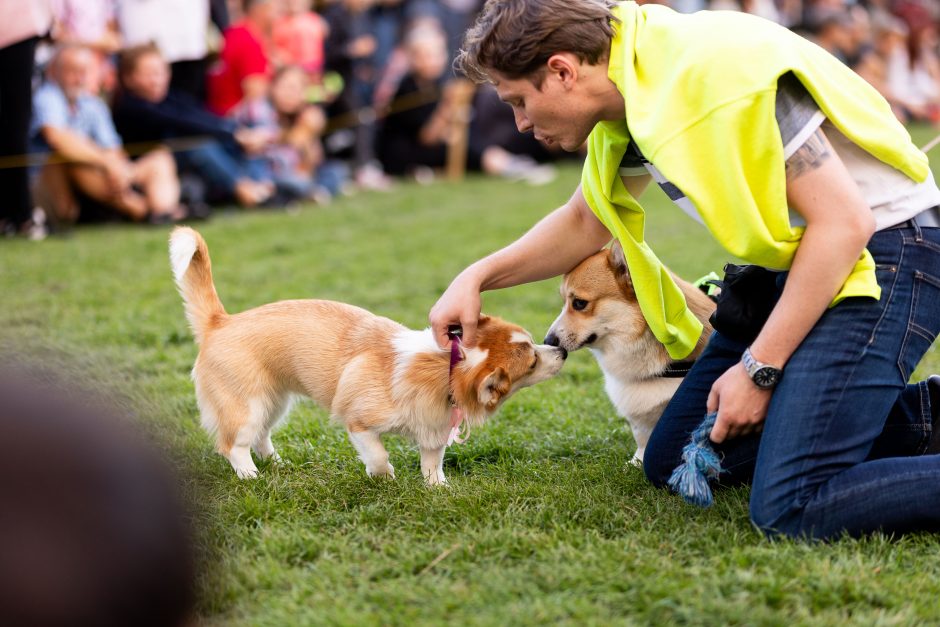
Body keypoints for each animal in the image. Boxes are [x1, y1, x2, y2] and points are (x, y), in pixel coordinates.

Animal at [169, 227, 564, 486]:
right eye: (532, 360)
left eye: (534, 345)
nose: (559, 349)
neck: (447, 365)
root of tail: (220, 322)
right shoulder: (358, 422)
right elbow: (378, 453)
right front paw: (384, 478)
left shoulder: (433, 430)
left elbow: (433, 462)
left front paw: (438, 488)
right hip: (246, 405)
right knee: (232, 444)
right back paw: (249, 474)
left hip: (273, 402)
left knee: (261, 436)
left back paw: (277, 464)